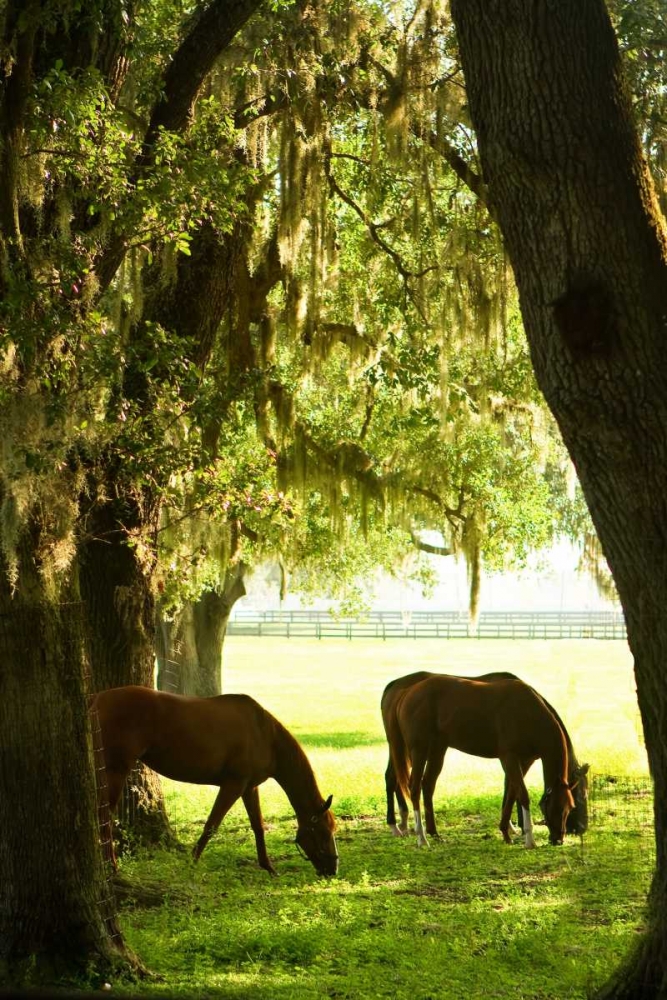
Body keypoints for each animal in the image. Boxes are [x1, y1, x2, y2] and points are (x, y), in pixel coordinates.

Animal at [91, 688, 340, 876]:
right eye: (323, 831)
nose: (333, 869)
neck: (265, 735)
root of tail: (97, 700)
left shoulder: (249, 787)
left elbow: (258, 826)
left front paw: (268, 867)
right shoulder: (233, 785)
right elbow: (212, 824)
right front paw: (191, 863)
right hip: (116, 771)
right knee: (104, 816)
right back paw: (112, 868)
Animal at [380, 672, 588, 844]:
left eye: (569, 806)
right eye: (555, 807)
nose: (558, 839)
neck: (527, 712)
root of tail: (406, 692)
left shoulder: (525, 760)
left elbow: (511, 793)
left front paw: (506, 832)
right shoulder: (509, 758)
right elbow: (522, 794)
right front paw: (529, 840)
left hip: (437, 749)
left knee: (427, 785)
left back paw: (433, 833)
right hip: (418, 750)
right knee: (413, 787)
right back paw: (421, 837)